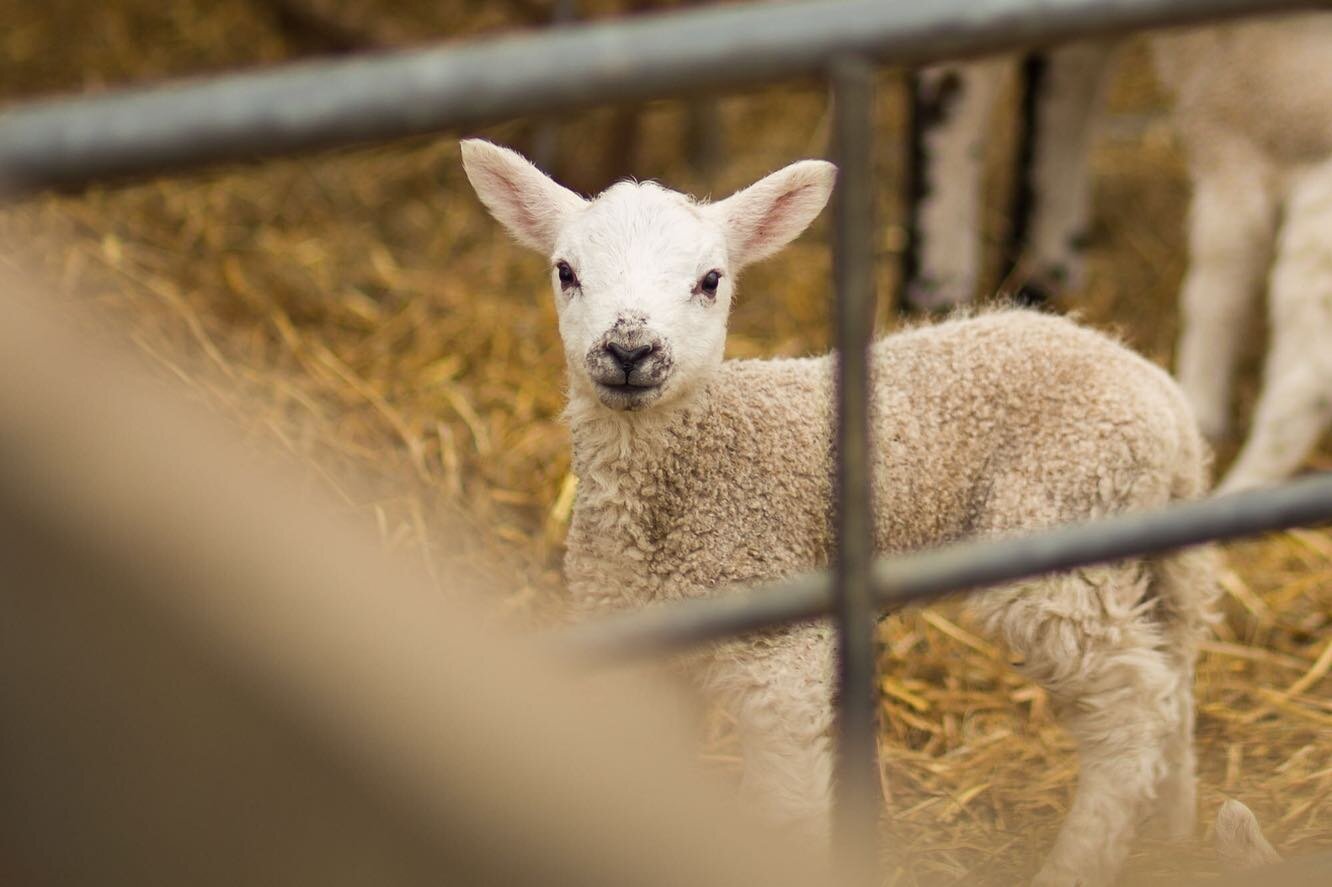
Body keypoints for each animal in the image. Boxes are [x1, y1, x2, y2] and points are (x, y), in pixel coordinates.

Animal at [458, 138, 1220, 884]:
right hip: (1147, 551)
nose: (629, 349)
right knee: (1176, 685)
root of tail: (1160, 397)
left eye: (711, 280)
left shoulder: (783, 662)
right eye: (565, 271)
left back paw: (1078, 862)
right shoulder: (636, 658)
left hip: (1062, 531)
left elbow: (785, 812)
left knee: (1134, 706)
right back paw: (1177, 835)